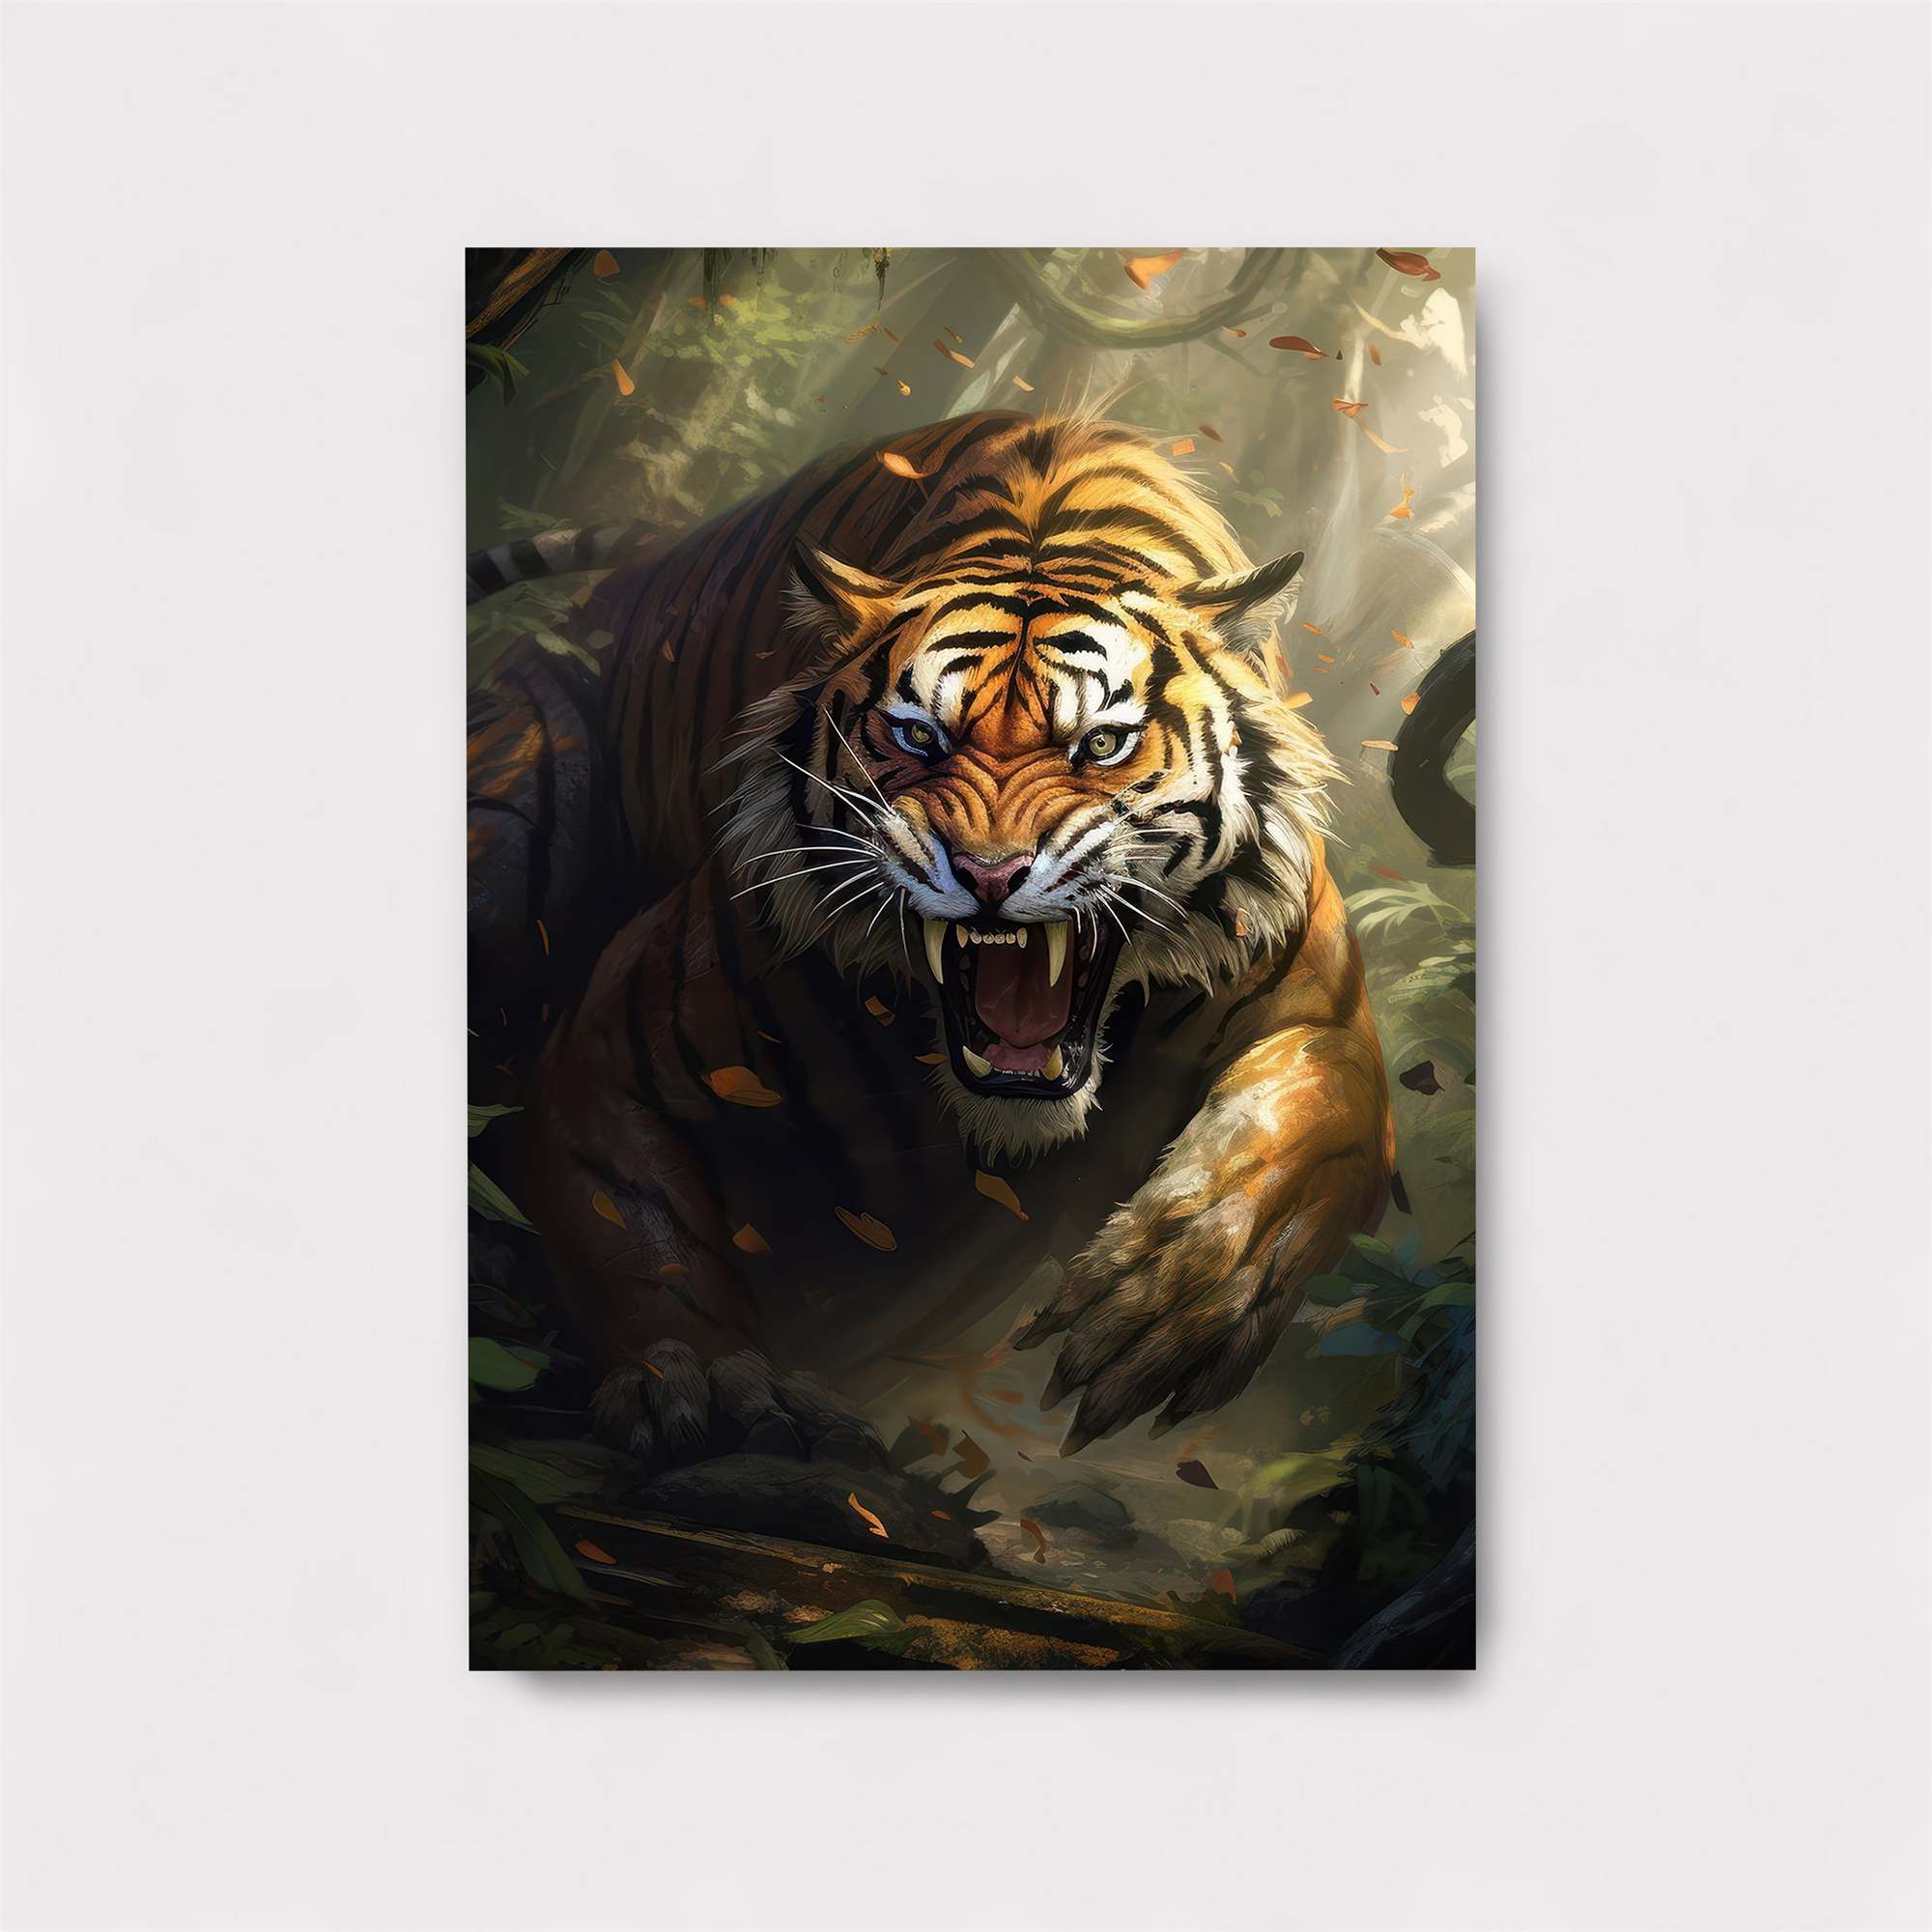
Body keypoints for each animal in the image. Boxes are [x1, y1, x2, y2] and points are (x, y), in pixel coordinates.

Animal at [468, 408, 1394, 1470]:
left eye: (1101, 746)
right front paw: (706, 1382)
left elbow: (1298, 1138)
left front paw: (1167, 1297)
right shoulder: (609, 1057)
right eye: (917, 738)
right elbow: (635, 1222)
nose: (990, 874)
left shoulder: (1322, 1020)